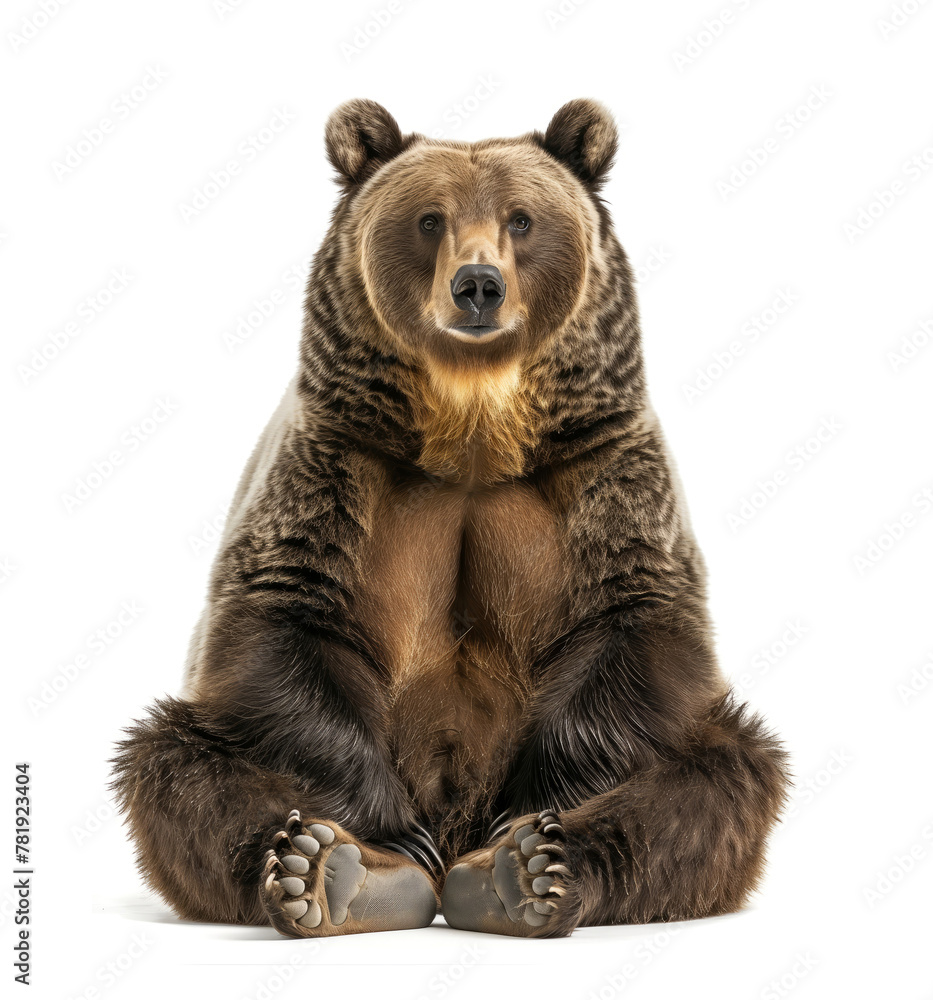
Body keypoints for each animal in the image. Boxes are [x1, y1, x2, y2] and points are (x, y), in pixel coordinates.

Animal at [112, 98, 790, 939]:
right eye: (429, 219)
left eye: (521, 219)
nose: (478, 286)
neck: (473, 427)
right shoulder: (337, 463)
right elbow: (278, 621)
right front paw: (391, 832)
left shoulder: (601, 468)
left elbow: (638, 625)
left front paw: (524, 819)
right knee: (177, 765)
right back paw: (338, 870)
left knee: (719, 777)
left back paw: (520, 872)